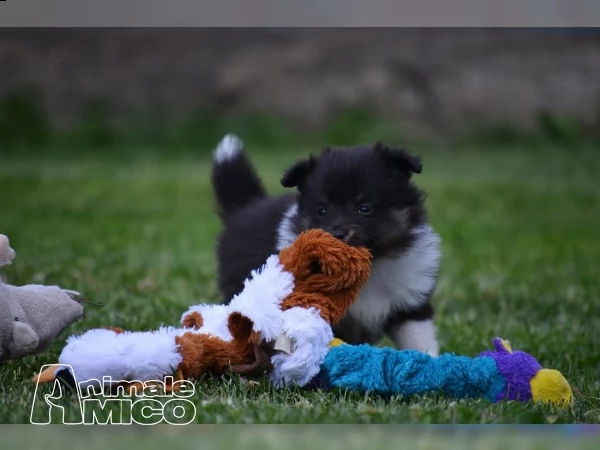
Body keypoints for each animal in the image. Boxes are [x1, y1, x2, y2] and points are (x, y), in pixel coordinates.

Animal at [211, 134, 440, 356]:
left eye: (364, 208)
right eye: (321, 210)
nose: (336, 234)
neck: (370, 267)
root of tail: (245, 208)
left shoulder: (409, 300)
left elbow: (419, 338)